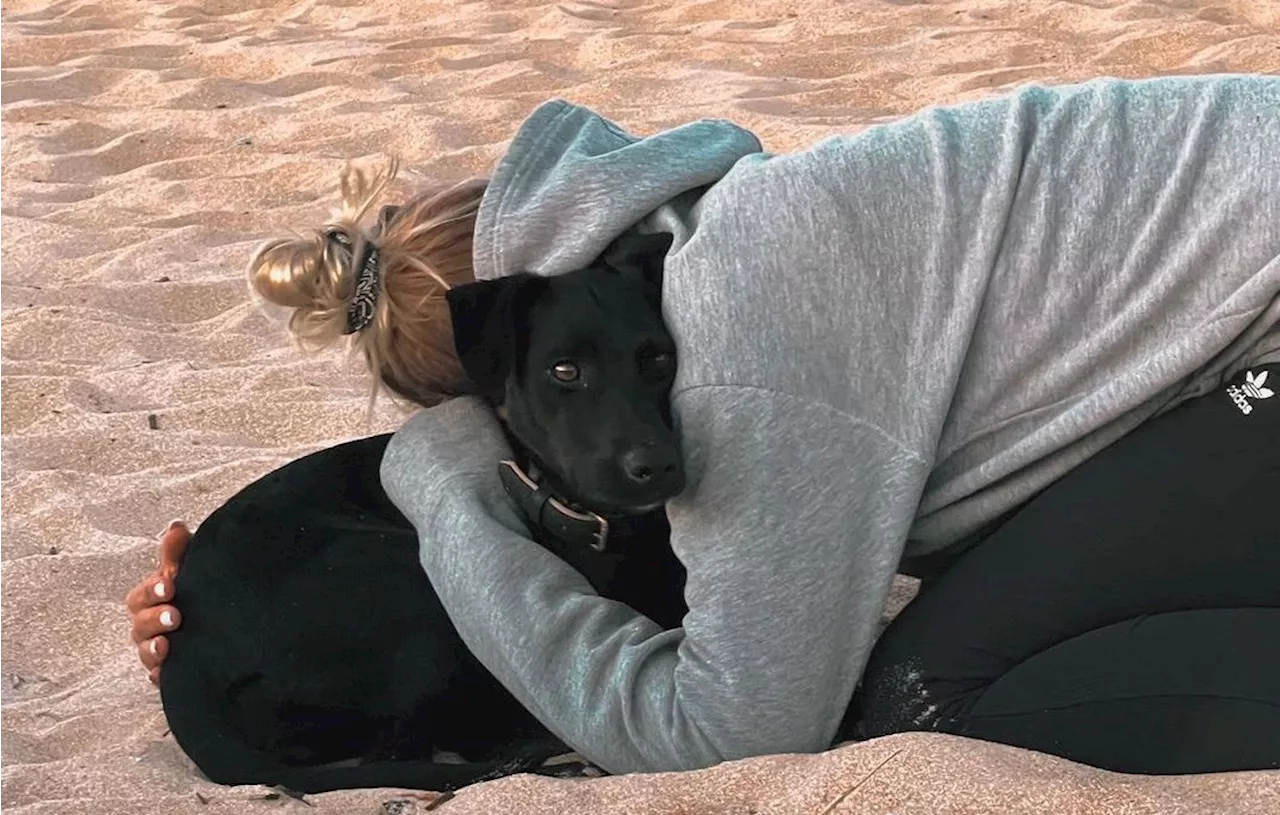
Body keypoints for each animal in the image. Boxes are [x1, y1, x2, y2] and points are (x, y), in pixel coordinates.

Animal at [160, 231, 691, 793]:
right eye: (565, 370)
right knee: (412, 747)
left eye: (660, 359)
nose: (657, 466)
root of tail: (185, 658)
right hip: (409, 580)